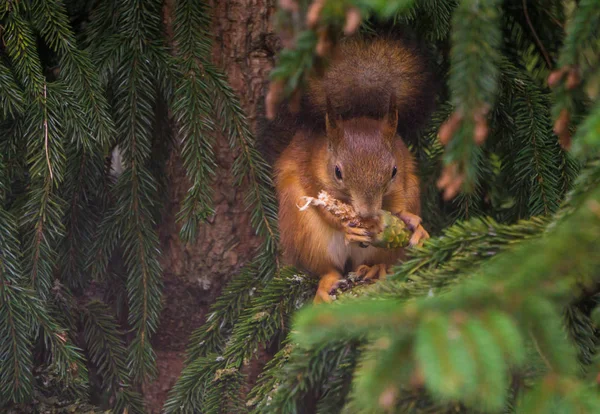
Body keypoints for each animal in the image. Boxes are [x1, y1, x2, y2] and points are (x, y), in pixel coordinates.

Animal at [266, 34, 436, 302]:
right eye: (337, 172)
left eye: (393, 171)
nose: (366, 215)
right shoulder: (309, 173)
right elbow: (323, 205)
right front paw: (346, 226)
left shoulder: (403, 176)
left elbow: (399, 204)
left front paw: (412, 223)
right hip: (306, 234)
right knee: (327, 269)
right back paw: (326, 286)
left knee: (380, 261)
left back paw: (378, 268)